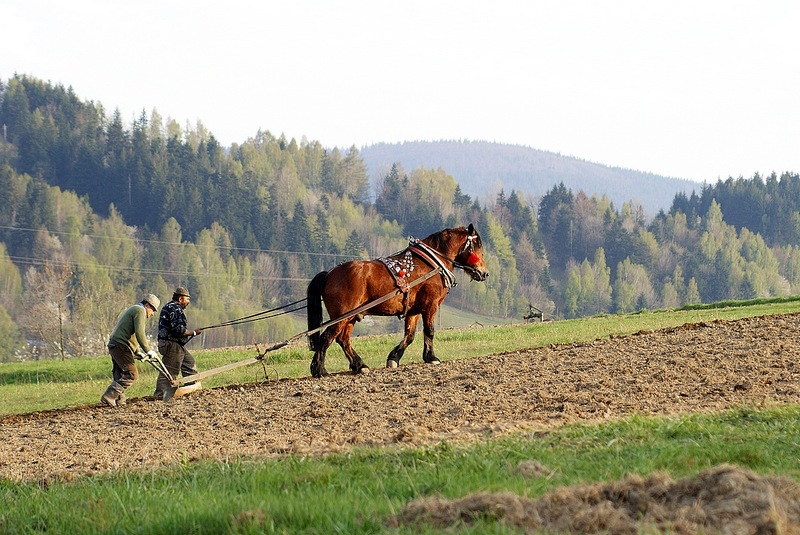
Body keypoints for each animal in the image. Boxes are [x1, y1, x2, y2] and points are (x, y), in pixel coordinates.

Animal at [306, 224, 488, 378]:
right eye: (477, 245)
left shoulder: (414, 310)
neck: (432, 264)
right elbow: (429, 331)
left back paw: (359, 365)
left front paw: (394, 358)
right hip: (342, 316)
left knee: (343, 339)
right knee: (327, 338)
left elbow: (410, 335)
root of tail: (329, 274)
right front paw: (431, 357)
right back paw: (319, 370)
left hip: (350, 317)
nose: (484, 273)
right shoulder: (431, 305)